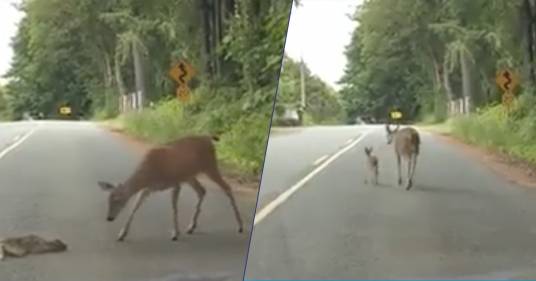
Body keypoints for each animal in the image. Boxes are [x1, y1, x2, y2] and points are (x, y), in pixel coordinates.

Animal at [98, 135, 245, 240]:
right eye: (108, 199)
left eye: (118, 200)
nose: (109, 218)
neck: (148, 174)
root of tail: (208, 138)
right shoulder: (148, 189)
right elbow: (135, 207)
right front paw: (122, 234)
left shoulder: (175, 182)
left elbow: (174, 208)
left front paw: (175, 234)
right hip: (190, 175)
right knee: (202, 191)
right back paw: (191, 227)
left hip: (210, 166)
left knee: (227, 187)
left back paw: (240, 226)